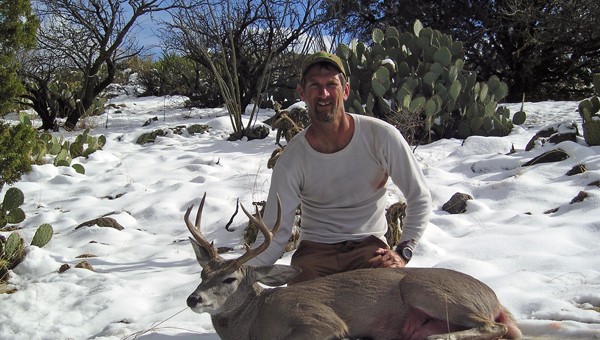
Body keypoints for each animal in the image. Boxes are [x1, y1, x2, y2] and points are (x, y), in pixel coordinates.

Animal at [185, 194, 524, 340]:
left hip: (425, 289)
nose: (193, 298)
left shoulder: (320, 319)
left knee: (493, 326)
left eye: (230, 278)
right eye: (202, 274)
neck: (255, 322)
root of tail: (495, 298)